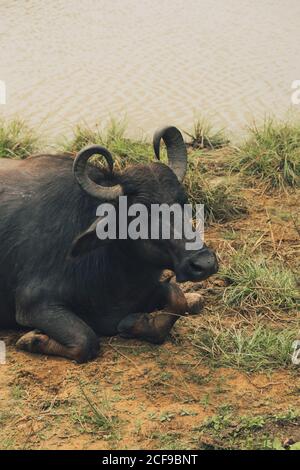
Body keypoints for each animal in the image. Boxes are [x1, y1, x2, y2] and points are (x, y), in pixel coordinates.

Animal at [0, 126, 217, 364]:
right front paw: (32, 339)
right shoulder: (34, 304)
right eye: (139, 213)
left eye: (183, 202)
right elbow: (86, 341)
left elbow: (177, 298)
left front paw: (134, 323)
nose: (205, 263)